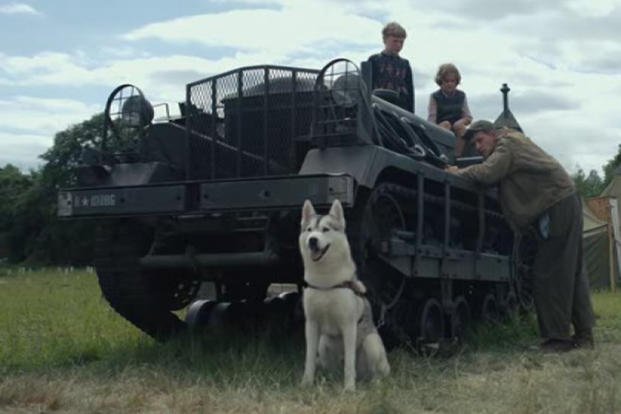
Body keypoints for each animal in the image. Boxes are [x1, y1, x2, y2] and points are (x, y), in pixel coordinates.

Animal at [296, 199, 388, 390]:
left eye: (325, 229)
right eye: (309, 229)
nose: (312, 240)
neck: (326, 282)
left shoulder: (349, 325)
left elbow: (349, 364)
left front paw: (349, 388)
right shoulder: (311, 324)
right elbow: (309, 359)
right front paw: (306, 383)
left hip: (372, 343)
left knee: (374, 372)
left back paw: (373, 383)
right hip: (323, 343)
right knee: (332, 369)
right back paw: (331, 380)